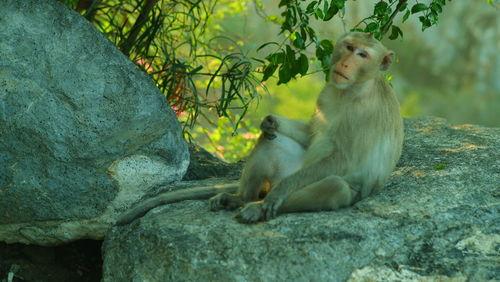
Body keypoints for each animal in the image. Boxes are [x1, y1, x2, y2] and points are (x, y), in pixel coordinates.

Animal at [115, 30, 404, 226]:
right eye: (349, 47)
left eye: (362, 55)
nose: (345, 64)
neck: (352, 89)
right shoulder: (327, 91)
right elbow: (311, 133)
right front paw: (270, 121)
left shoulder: (367, 113)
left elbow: (344, 159)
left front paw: (280, 193)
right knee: (271, 142)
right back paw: (241, 197)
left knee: (335, 186)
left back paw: (258, 205)